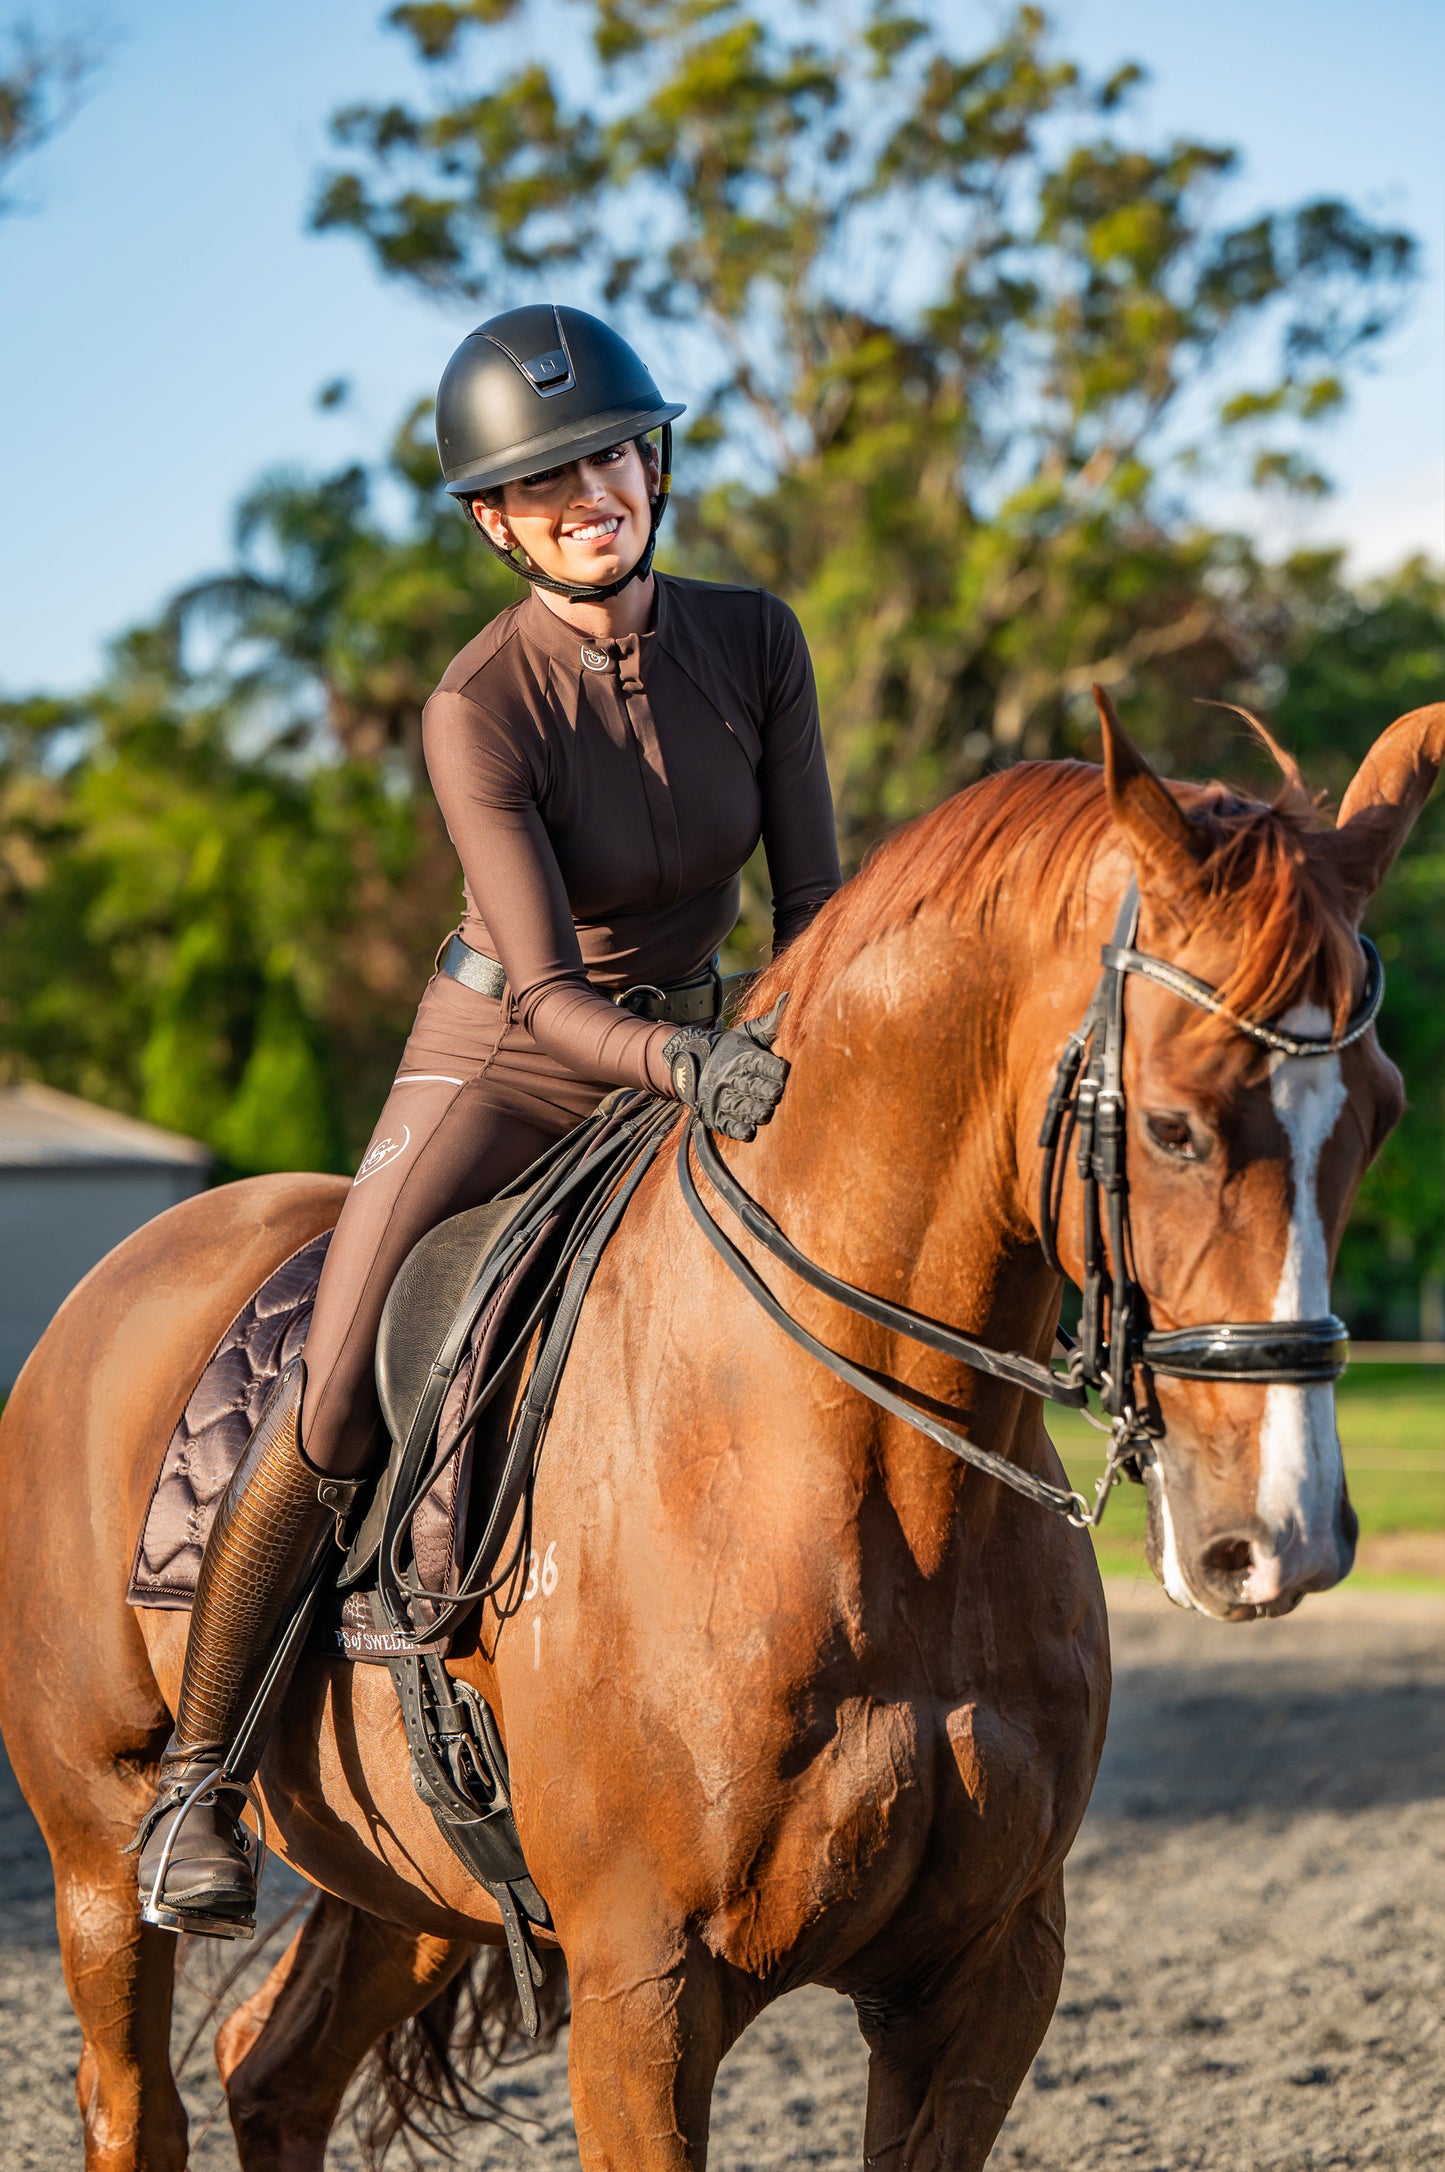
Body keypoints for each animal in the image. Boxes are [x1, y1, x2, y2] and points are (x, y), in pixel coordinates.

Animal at [0, 699, 1434, 2172]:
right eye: (1170, 1126)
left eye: (1378, 1114)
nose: (1280, 1539)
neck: (852, 1478)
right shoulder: (645, 1991)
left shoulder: (986, 1977)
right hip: (100, 1857)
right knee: (135, 2098)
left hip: (409, 1877)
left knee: (273, 2070)